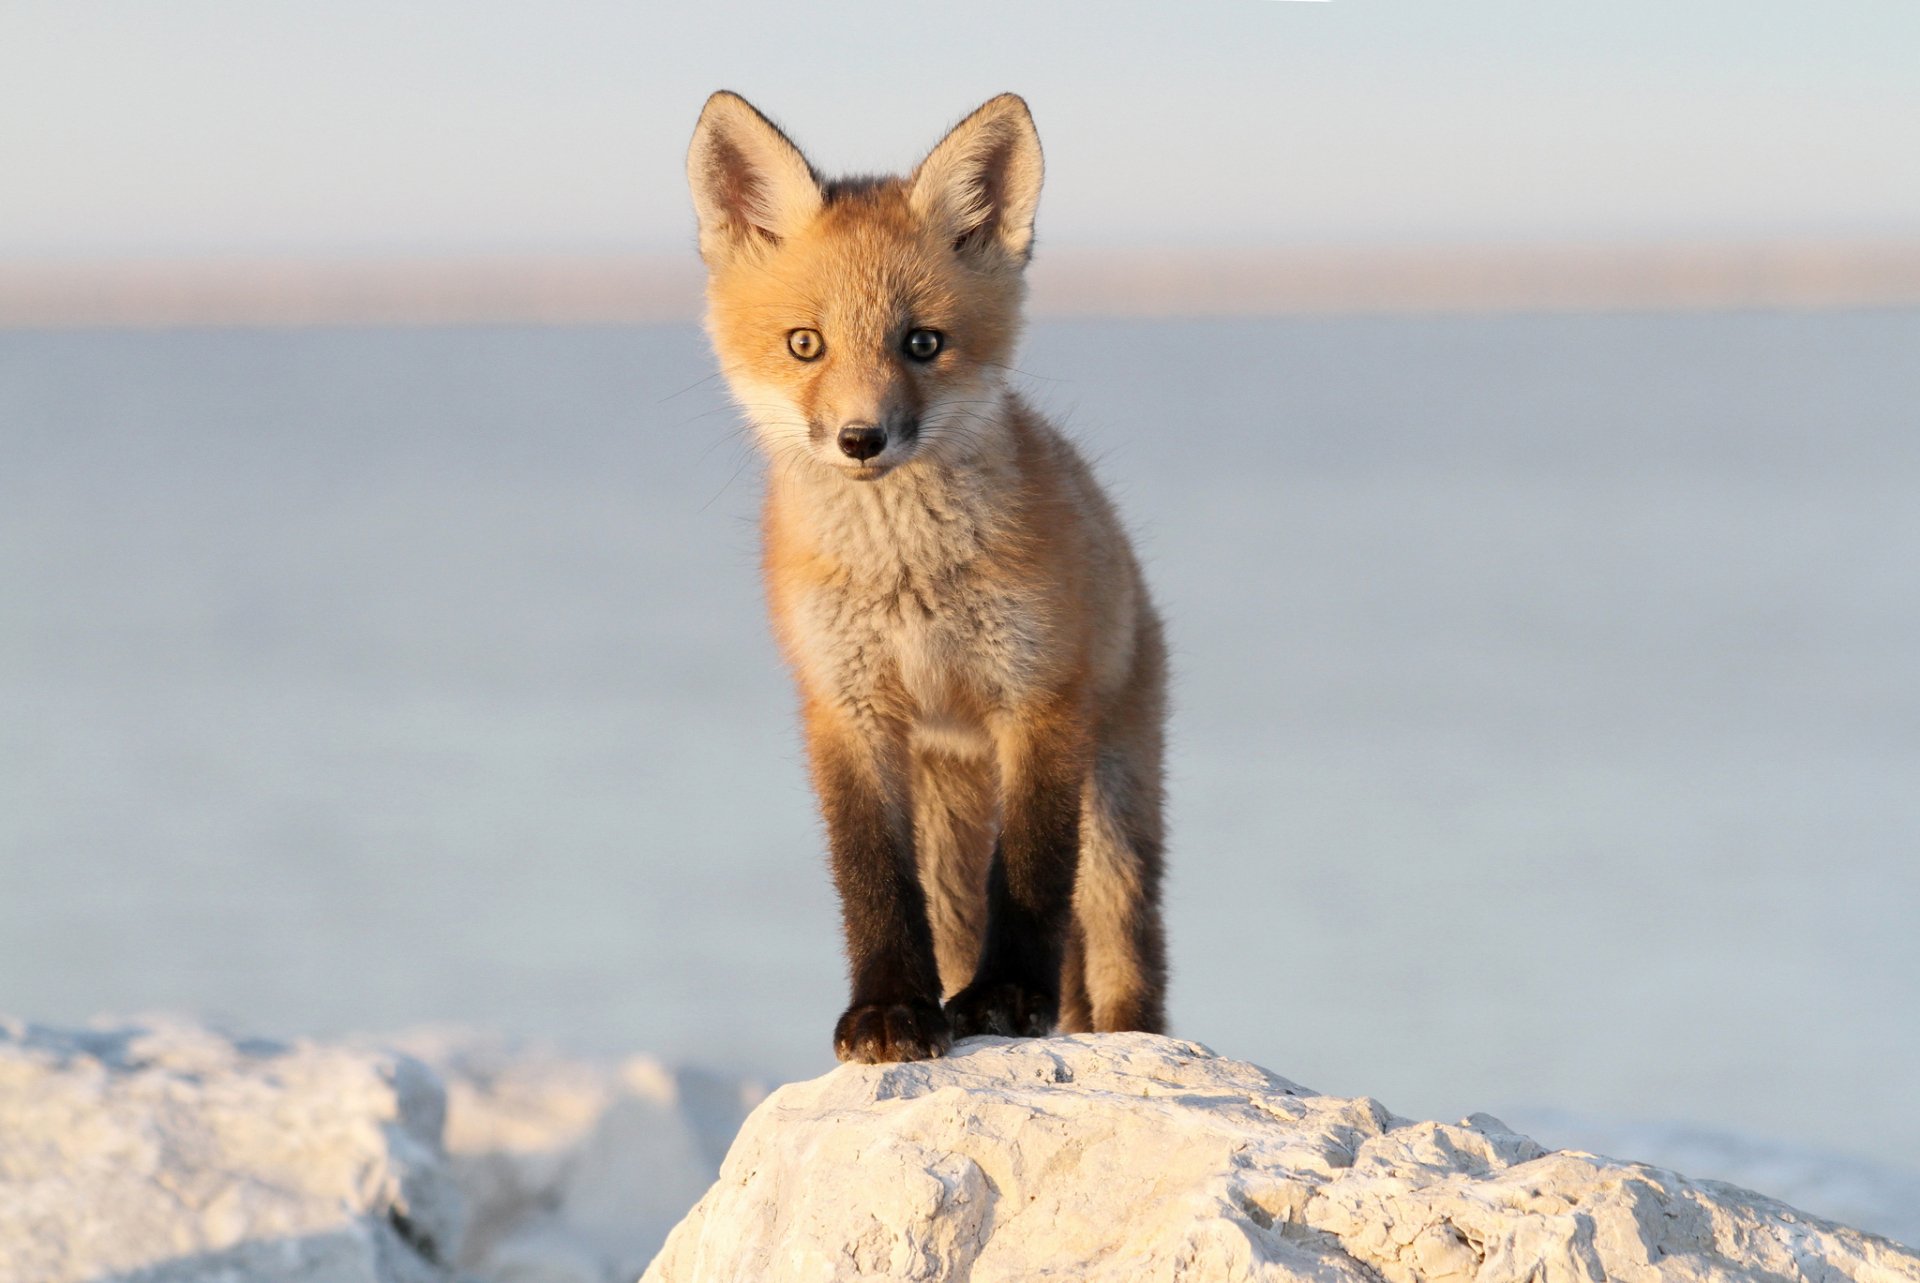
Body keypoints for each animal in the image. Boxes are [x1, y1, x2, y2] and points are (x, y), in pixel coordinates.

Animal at [686, 91, 1168, 1064]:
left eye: (922, 342)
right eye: (805, 344)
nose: (861, 439)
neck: (906, 578)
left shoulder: (1038, 700)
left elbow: (1030, 877)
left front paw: (1007, 998)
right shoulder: (847, 706)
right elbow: (870, 876)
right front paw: (889, 1008)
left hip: (1112, 819)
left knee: (1121, 962)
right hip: (946, 823)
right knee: (950, 916)